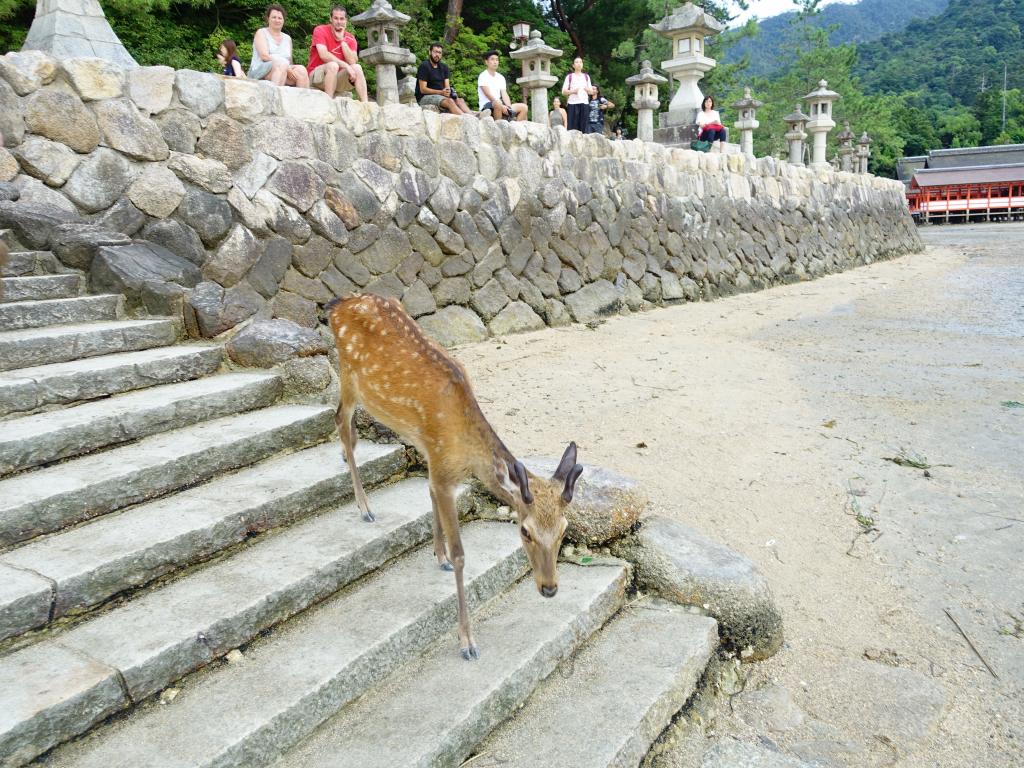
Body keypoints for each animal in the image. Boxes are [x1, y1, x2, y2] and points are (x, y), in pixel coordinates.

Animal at [327, 294, 585, 663]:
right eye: (525, 531)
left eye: (564, 529)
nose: (549, 588)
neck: (466, 453)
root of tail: (337, 304)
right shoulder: (442, 465)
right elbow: (462, 552)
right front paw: (467, 641)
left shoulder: (435, 459)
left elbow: (429, 492)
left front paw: (440, 556)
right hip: (349, 377)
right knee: (341, 421)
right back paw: (364, 507)